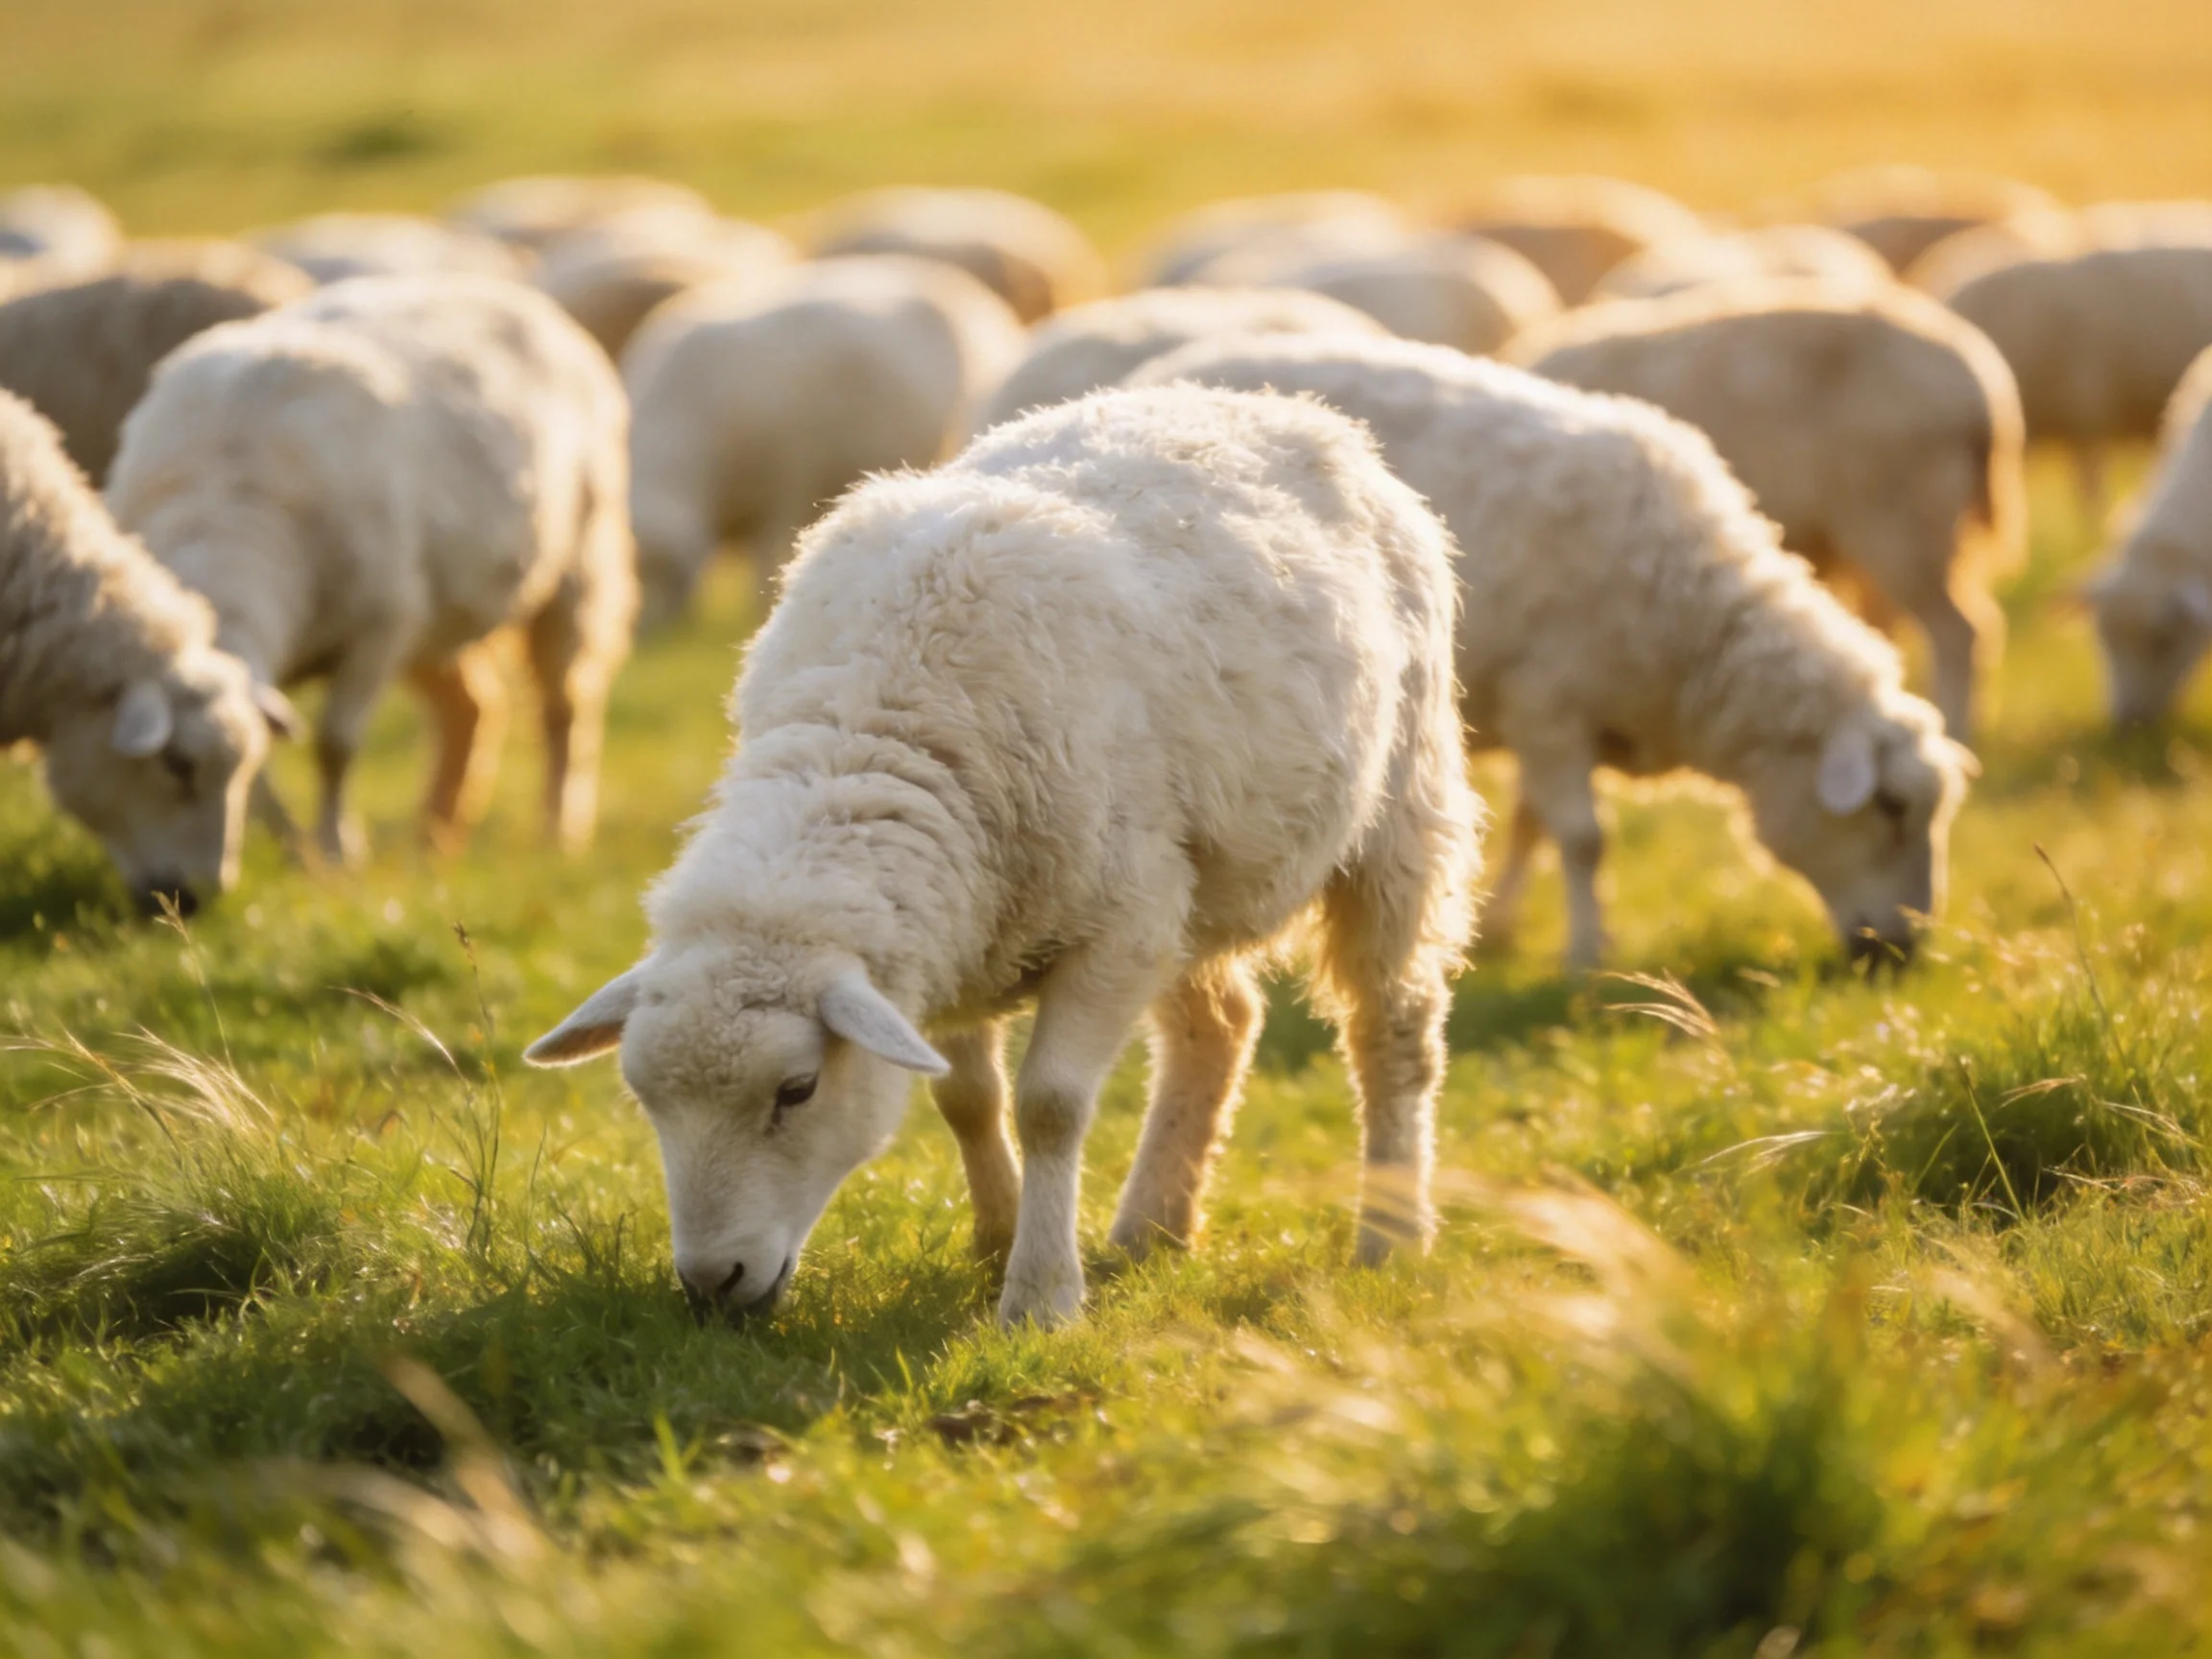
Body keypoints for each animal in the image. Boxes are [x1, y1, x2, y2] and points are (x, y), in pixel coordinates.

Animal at [106, 274, 635, 864]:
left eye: (178, 766)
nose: (178, 886)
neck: (228, 511)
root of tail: (500, 287)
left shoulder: (377, 632)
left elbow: (335, 744)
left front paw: (335, 849)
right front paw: (296, 851)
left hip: (576, 568)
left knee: (565, 706)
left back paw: (558, 830)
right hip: (435, 613)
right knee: (472, 707)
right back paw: (434, 837)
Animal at [525, 383, 1481, 1329]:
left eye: (796, 1090)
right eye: (646, 1100)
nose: (711, 1285)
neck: (876, 733)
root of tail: (1268, 402)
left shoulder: (1113, 929)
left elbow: (1049, 1106)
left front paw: (1040, 1295)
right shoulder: (959, 932)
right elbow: (964, 1097)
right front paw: (996, 1237)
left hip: (1397, 807)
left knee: (1393, 1025)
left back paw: (1391, 1234)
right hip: (1192, 881)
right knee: (1222, 1025)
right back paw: (1153, 1226)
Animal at [1129, 334, 1970, 970]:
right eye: (1891, 808)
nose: (1902, 954)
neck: (1696, 628)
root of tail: (1168, 368)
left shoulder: (1555, 724)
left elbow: (1532, 823)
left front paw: (1501, 926)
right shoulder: (1550, 705)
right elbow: (1584, 839)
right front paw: (1586, 955)